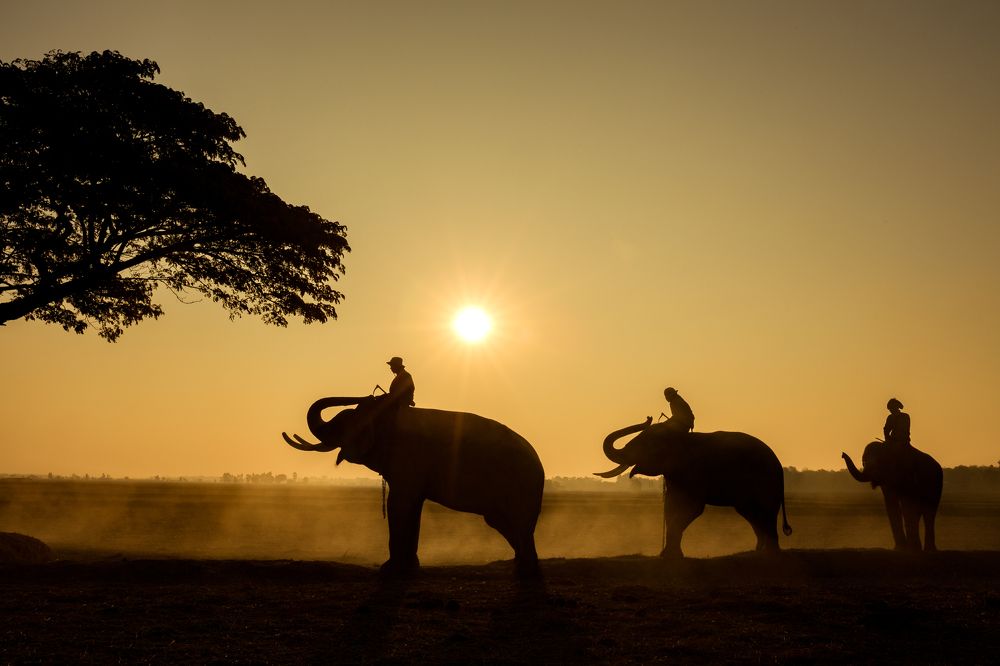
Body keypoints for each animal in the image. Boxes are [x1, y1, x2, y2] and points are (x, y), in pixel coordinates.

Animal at [283, 396, 545, 575]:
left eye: (340, 423)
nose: (367, 396)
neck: (382, 417)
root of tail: (538, 463)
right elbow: (412, 506)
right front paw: (409, 567)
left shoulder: (408, 459)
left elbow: (399, 503)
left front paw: (390, 569)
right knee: (502, 523)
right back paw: (518, 563)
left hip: (519, 485)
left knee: (517, 523)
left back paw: (526, 569)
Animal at [595, 417, 792, 558]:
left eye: (646, 443)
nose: (648, 417)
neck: (678, 437)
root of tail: (778, 465)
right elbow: (671, 508)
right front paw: (667, 555)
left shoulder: (693, 473)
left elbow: (691, 508)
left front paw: (670, 556)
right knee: (752, 513)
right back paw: (757, 552)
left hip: (765, 481)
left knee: (765, 513)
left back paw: (770, 554)